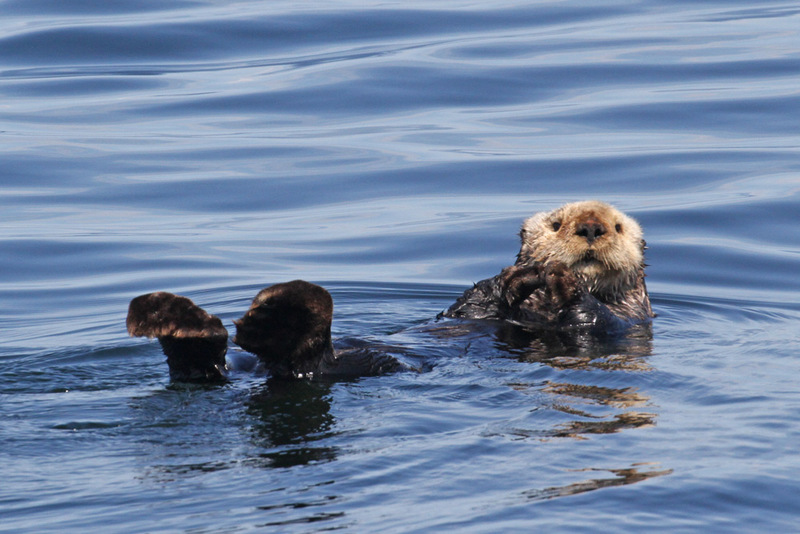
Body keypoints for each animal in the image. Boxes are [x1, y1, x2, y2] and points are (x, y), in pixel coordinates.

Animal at [442, 201, 653, 332]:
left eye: (619, 228)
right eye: (556, 225)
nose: (591, 228)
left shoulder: (633, 313)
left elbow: (601, 321)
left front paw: (566, 283)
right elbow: (464, 309)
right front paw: (516, 277)